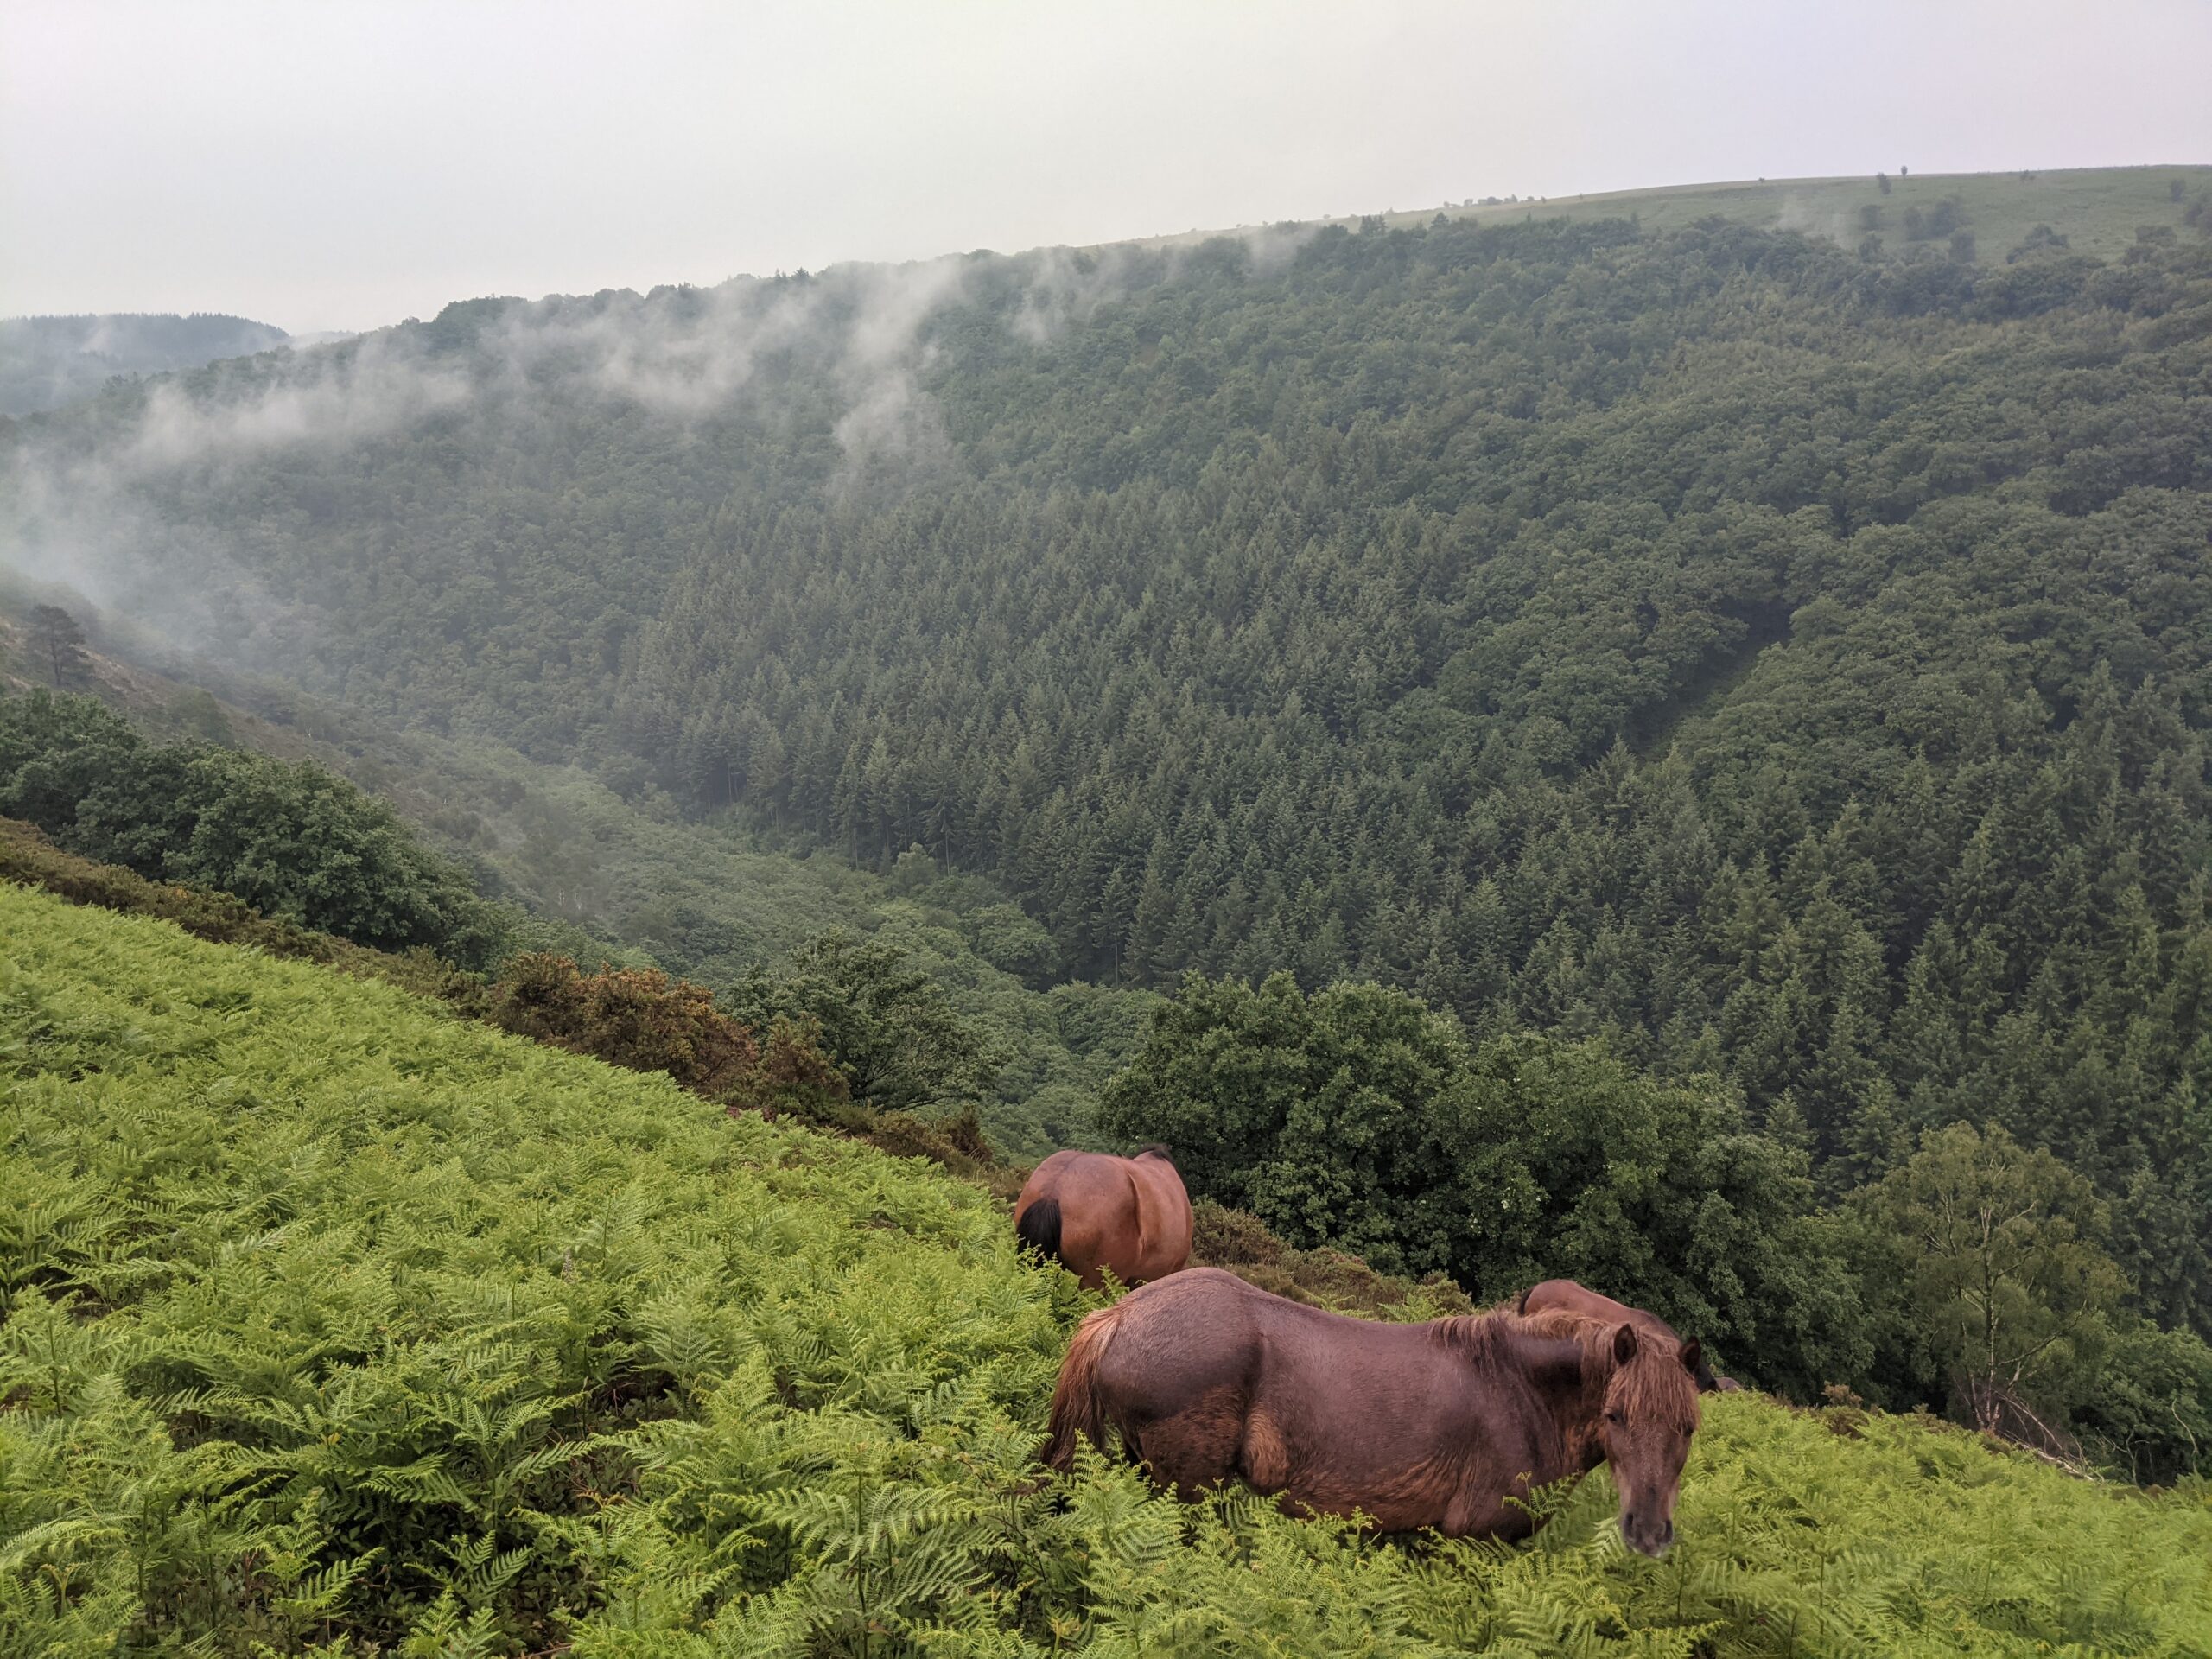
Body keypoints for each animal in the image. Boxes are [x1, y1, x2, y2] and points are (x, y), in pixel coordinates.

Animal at [1044, 1274, 1699, 1557]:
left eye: (1688, 1427)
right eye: (1615, 1415)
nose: (1648, 1532)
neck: (1520, 1391)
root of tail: (1120, 1315)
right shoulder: (1476, 1544)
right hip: (1186, 1490)